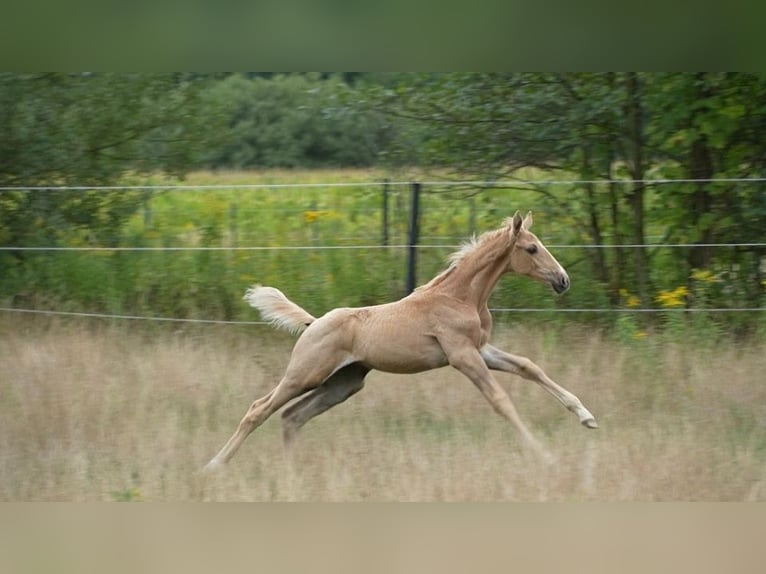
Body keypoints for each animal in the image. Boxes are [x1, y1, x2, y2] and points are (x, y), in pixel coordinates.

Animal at [204, 211, 597, 471]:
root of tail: (312, 323)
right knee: (259, 409)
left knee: (292, 417)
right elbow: (501, 400)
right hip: (305, 374)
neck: (460, 297)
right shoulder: (462, 356)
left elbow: (530, 367)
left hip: (344, 383)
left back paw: (292, 471)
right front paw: (544, 454)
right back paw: (214, 465)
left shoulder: (481, 350)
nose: (563, 280)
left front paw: (587, 417)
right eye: (531, 249)